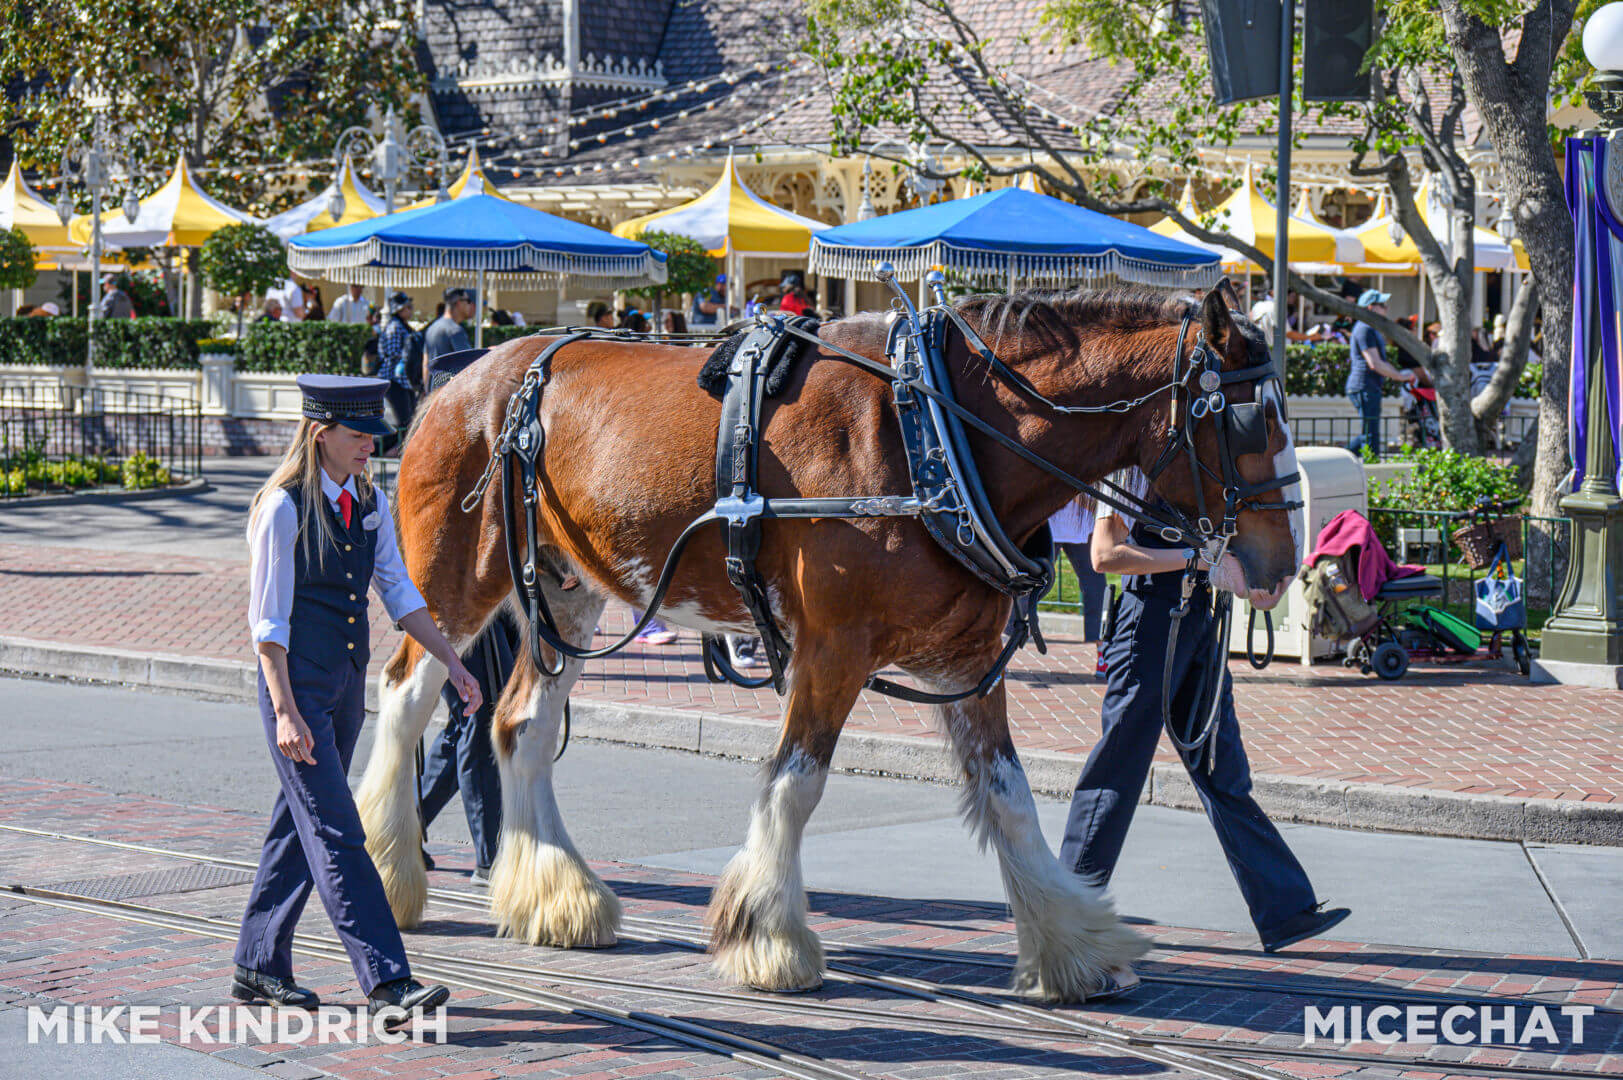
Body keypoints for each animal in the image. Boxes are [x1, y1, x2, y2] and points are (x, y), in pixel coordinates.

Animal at [352, 279, 1291, 1000]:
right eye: (1247, 423)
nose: (1275, 563)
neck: (938, 436)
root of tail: (456, 380)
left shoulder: (965, 663)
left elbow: (1010, 801)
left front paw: (1073, 946)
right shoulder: (830, 650)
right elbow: (795, 783)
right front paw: (768, 937)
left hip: (568, 588)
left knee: (521, 723)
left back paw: (559, 899)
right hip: (455, 574)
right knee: (406, 693)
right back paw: (390, 875)